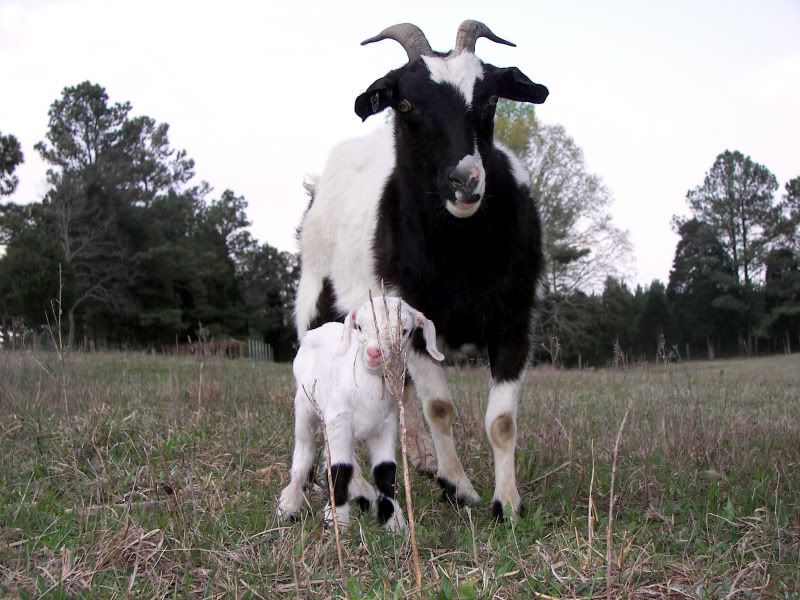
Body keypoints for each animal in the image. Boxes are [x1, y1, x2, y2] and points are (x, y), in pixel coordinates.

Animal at [278, 296, 444, 532]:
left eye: (404, 331)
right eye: (359, 326)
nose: (374, 353)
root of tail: (316, 330)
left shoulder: (385, 428)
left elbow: (386, 472)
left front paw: (393, 521)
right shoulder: (339, 421)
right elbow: (340, 468)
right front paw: (337, 520)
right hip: (305, 407)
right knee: (304, 449)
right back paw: (289, 503)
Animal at [295, 20, 548, 520]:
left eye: (490, 98)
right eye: (406, 103)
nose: (465, 180)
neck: (460, 257)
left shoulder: (513, 320)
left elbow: (502, 420)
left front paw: (507, 502)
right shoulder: (410, 315)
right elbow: (440, 408)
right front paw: (459, 487)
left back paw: (419, 458)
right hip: (317, 303)